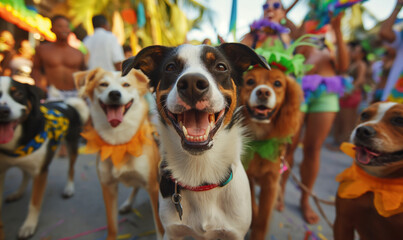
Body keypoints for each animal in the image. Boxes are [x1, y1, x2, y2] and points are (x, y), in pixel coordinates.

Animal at [0, 76, 88, 239]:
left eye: (19, 94)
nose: (3, 111)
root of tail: (66, 103)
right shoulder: (1, 171)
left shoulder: (41, 172)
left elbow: (34, 203)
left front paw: (29, 225)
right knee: (25, 173)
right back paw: (18, 193)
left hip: (72, 144)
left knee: (71, 168)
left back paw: (69, 188)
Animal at [74, 67, 164, 240]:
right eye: (103, 84)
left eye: (126, 84)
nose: (114, 94)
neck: (119, 143)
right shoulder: (108, 187)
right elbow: (112, 225)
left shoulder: (154, 186)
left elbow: (160, 226)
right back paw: (128, 204)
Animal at [121, 43, 270, 240]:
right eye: (170, 67)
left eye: (221, 67)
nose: (192, 84)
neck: (200, 174)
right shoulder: (172, 232)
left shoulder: (234, 233)